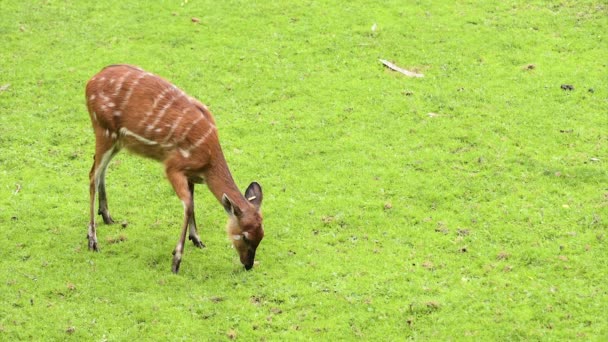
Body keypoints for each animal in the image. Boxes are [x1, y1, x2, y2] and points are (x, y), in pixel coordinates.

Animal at [85, 65, 264, 272]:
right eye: (245, 236)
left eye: (262, 236)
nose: (248, 264)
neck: (208, 162)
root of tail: (90, 81)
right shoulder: (173, 167)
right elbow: (187, 204)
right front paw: (176, 260)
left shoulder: (190, 175)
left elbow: (192, 202)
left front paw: (197, 240)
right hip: (103, 130)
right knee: (92, 174)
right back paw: (93, 241)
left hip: (117, 140)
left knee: (101, 169)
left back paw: (106, 216)